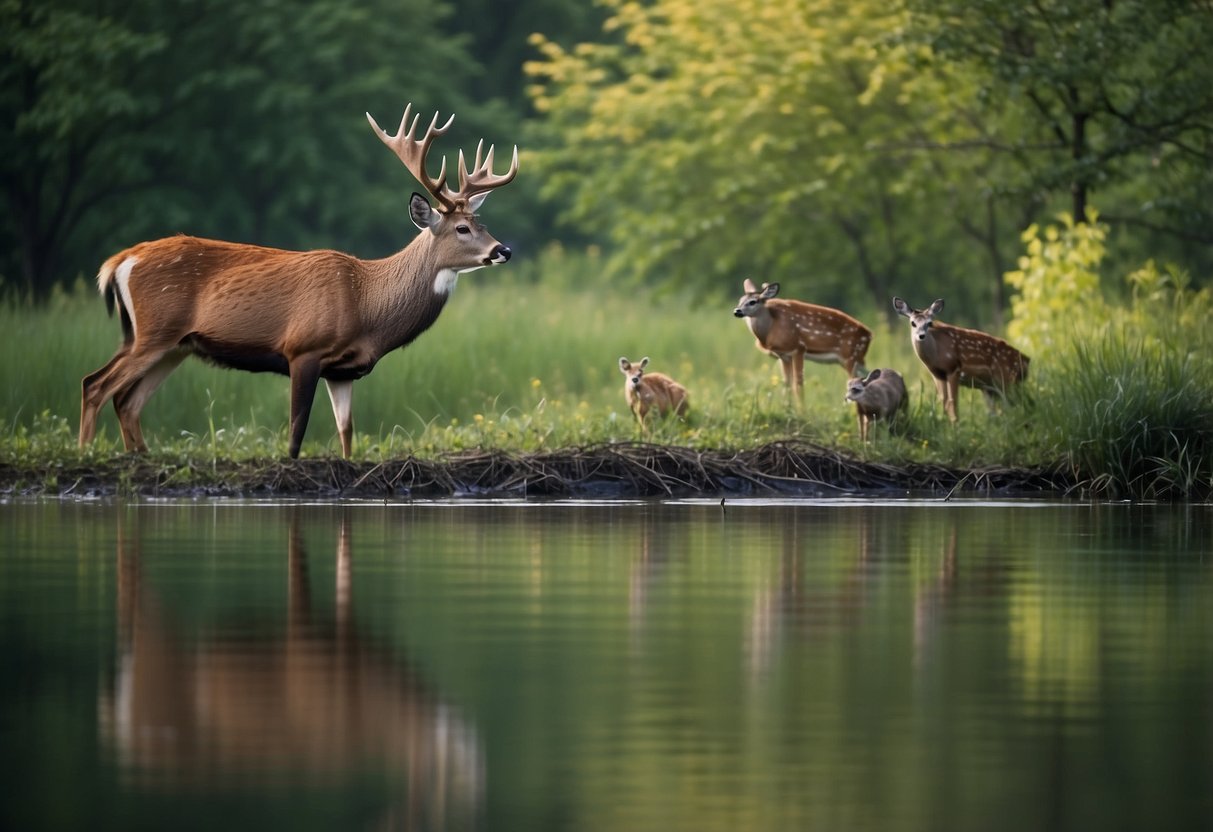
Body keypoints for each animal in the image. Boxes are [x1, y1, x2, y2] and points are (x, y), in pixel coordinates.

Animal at [75, 102, 521, 463]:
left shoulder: (344, 371)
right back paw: (86, 453)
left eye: (482, 222)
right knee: (96, 384)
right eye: (462, 228)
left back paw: (140, 455)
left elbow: (346, 434)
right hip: (156, 329)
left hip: (171, 344)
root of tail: (120, 261)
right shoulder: (302, 348)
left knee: (126, 400)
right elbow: (295, 434)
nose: (504, 250)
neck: (366, 304)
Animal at [727, 280, 873, 405]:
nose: (737, 311)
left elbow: (798, 384)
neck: (772, 327)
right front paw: (787, 409)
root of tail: (869, 335)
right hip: (853, 360)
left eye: (753, 302)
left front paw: (801, 412)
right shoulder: (783, 355)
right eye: (740, 300)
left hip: (850, 356)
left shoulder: (798, 348)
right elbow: (787, 384)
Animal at [897, 298, 1028, 424]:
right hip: (990, 387)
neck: (936, 353)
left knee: (1018, 405)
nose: (921, 335)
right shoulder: (937, 374)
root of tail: (1027, 361)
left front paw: (955, 426)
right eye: (913, 323)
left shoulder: (953, 368)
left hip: (1007, 380)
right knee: (1000, 410)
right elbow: (943, 402)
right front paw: (945, 425)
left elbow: (952, 402)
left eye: (929, 323)